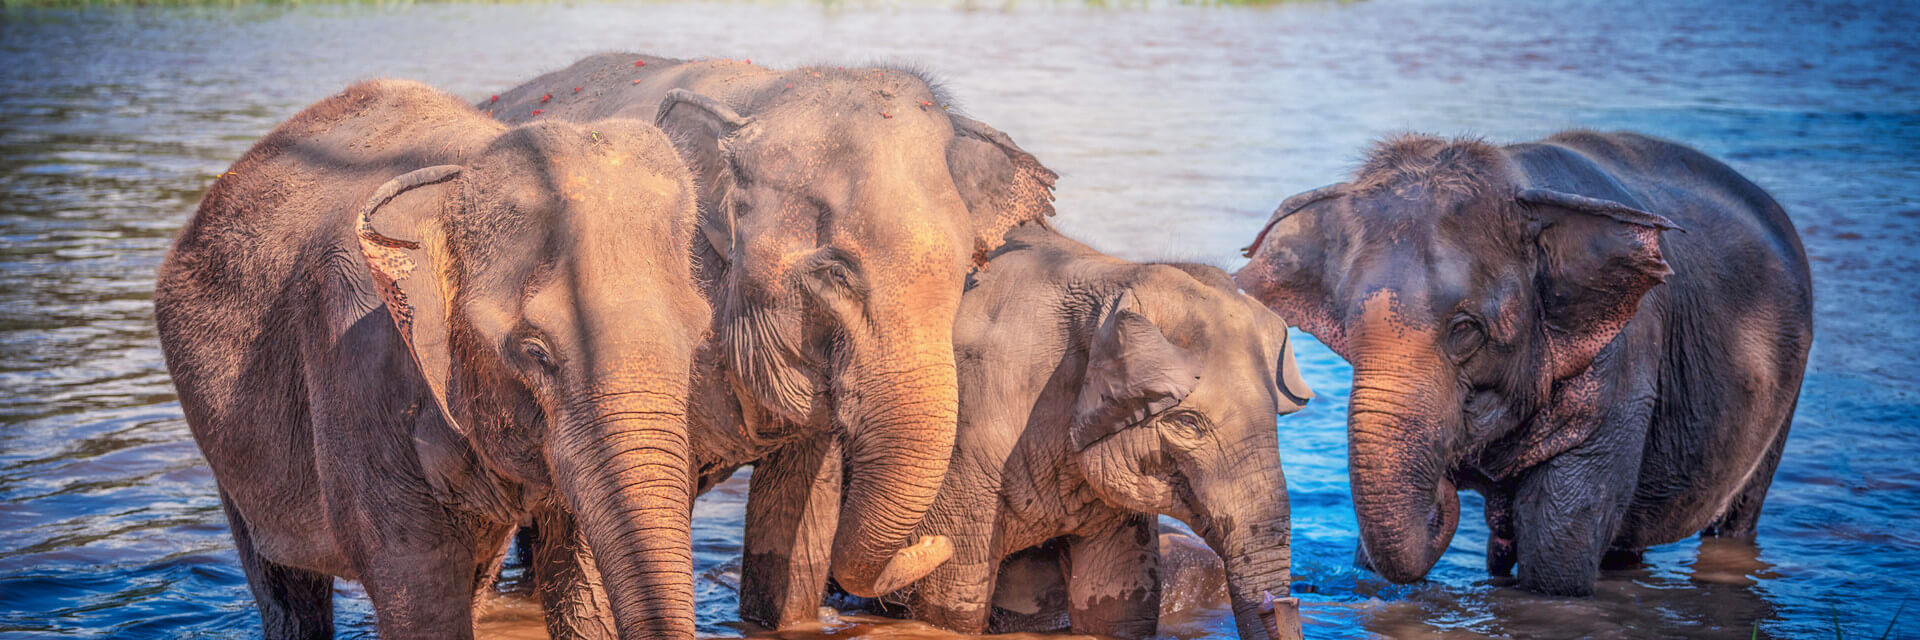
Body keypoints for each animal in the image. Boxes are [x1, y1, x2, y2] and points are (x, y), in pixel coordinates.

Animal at [153, 79, 710, 638]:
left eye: (699, 335)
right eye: (536, 353)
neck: (458, 175)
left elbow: (584, 585)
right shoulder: (353, 355)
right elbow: (416, 588)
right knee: (285, 586)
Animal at [885, 226, 1313, 640]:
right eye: (1188, 424)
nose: (1278, 603)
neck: (1115, 277)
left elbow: (1117, 605)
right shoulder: (964, 442)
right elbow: (952, 602)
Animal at [1234, 131, 1813, 596]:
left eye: (1465, 329)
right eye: (1350, 330)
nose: (1444, 490)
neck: (1521, 183)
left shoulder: (1624, 367)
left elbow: (1556, 558)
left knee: (1736, 519)